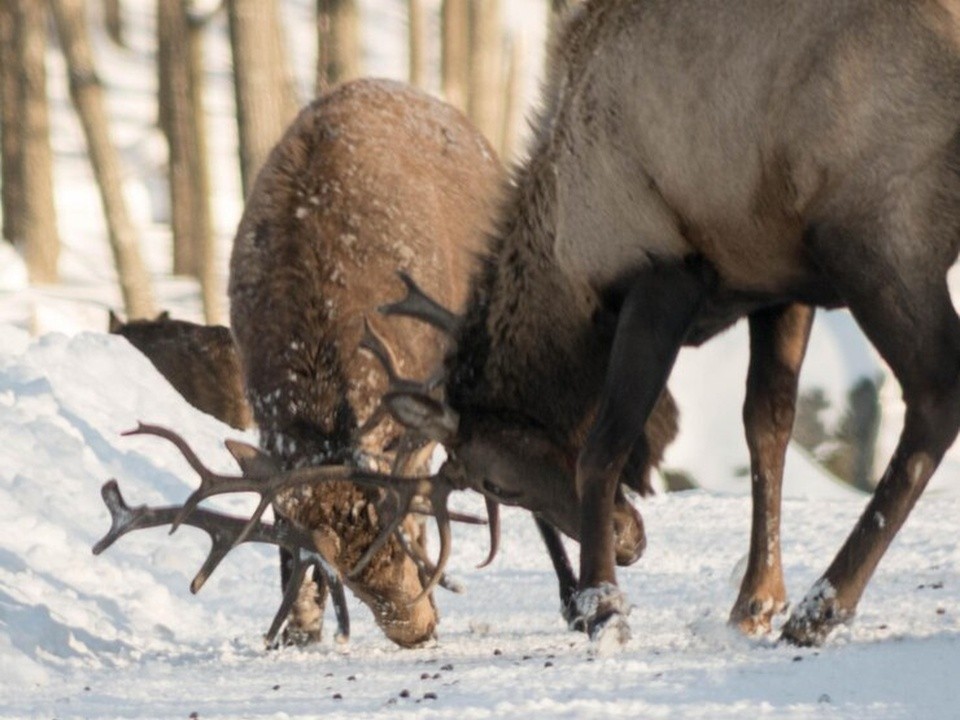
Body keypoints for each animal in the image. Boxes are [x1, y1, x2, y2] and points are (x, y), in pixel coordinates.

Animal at [364, 0, 960, 648]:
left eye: (494, 483)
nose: (628, 540)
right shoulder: (777, 282)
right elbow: (767, 425)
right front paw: (753, 601)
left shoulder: (662, 273)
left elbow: (604, 445)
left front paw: (604, 606)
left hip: (875, 233)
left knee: (935, 396)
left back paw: (822, 608)